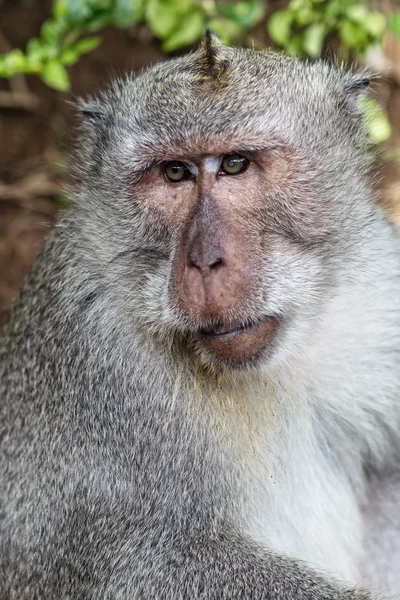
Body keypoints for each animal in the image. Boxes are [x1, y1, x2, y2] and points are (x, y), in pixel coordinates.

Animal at [0, 32, 400, 600]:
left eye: (235, 164)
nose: (205, 260)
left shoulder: (380, 290)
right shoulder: (96, 352)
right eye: (176, 173)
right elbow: (137, 566)